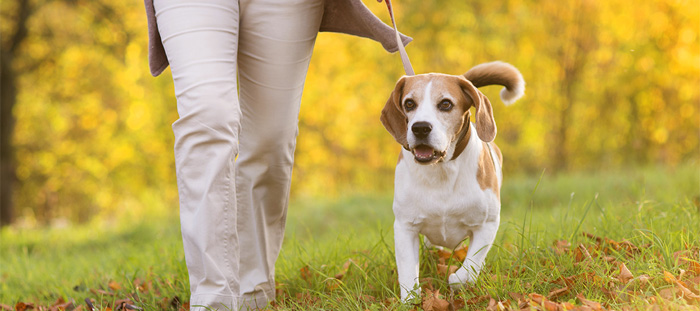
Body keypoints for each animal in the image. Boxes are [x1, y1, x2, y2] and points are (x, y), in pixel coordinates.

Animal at [380, 61, 524, 300]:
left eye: (446, 104)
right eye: (409, 103)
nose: (420, 128)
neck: (441, 170)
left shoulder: (487, 224)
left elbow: (469, 268)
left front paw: (456, 279)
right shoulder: (405, 227)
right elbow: (408, 272)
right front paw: (410, 299)